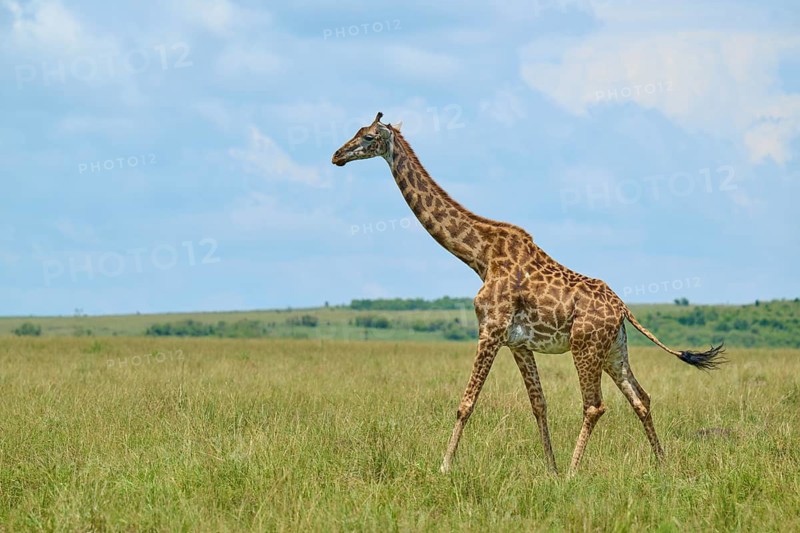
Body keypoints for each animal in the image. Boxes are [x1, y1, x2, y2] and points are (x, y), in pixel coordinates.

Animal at [331, 112, 724, 475]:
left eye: (368, 137)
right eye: (355, 131)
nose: (337, 155)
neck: (480, 255)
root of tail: (624, 308)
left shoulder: (490, 330)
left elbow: (466, 402)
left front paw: (444, 466)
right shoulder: (518, 343)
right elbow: (539, 403)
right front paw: (549, 469)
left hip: (585, 346)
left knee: (594, 404)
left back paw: (575, 471)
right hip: (615, 349)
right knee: (641, 398)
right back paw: (662, 464)